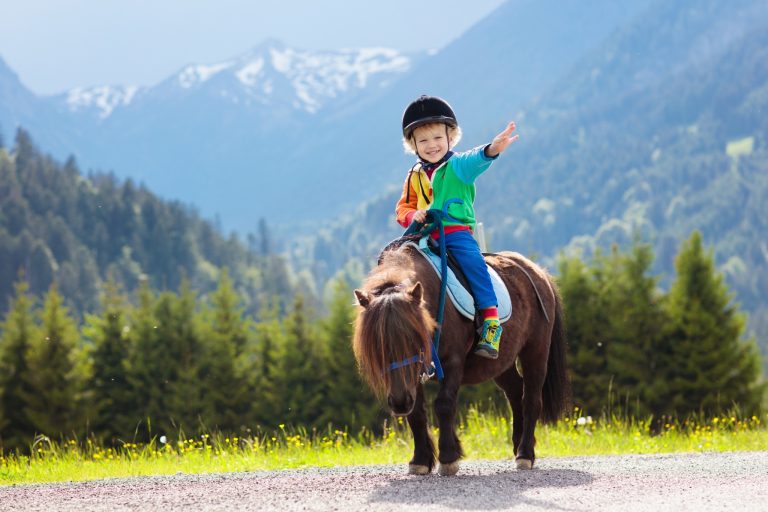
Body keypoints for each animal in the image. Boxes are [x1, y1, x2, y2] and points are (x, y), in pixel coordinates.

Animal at [353, 243, 570, 476]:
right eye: (376, 344)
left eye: (414, 338)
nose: (400, 402)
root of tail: (539, 273)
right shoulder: (412, 376)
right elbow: (417, 413)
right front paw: (420, 459)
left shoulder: (452, 363)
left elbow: (444, 404)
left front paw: (448, 457)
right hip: (502, 364)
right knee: (515, 393)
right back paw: (518, 444)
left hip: (536, 352)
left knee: (531, 399)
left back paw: (525, 453)